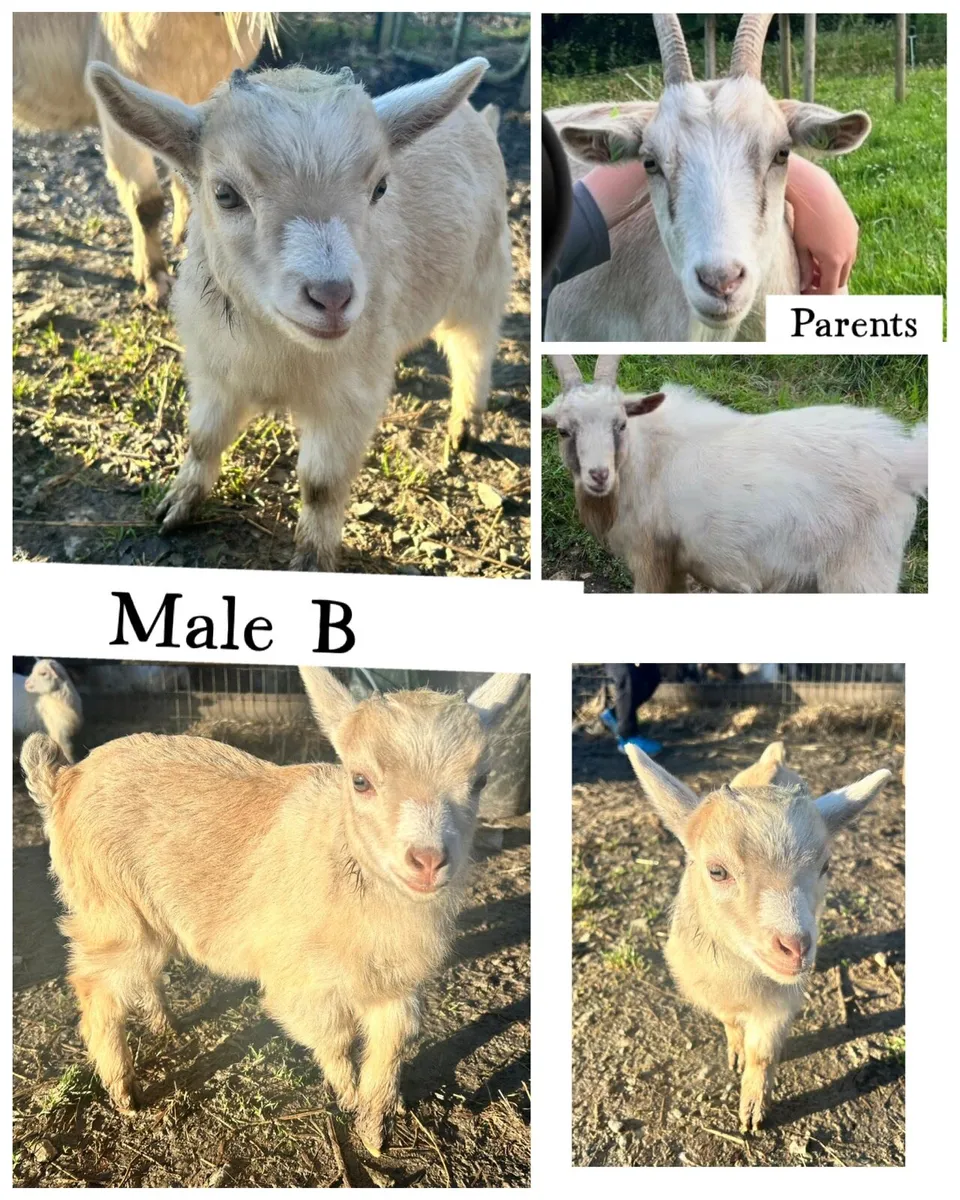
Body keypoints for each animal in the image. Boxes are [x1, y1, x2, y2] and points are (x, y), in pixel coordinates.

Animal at [20, 668, 524, 1155]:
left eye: (480, 781)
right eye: (360, 780)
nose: (428, 860)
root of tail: (65, 779)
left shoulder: (396, 983)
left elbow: (392, 1044)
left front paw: (377, 1127)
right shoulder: (300, 982)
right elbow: (336, 1038)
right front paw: (349, 1098)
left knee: (141, 972)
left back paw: (166, 1026)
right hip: (109, 907)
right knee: (96, 988)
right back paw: (125, 1093)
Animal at [84, 59, 512, 571]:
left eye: (380, 188)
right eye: (225, 194)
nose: (332, 296)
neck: (277, 349)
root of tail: (478, 118)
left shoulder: (347, 400)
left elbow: (321, 486)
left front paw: (312, 559)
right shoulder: (213, 371)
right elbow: (203, 438)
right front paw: (179, 503)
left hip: (482, 281)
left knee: (475, 349)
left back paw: (466, 423)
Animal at [543, 355, 927, 593]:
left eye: (620, 424)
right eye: (563, 431)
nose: (598, 475)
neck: (644, 459)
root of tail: (904, 458)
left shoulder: (650, 557)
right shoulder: (675, 564)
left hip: (861, 571)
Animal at [626, 740, 892, 1130]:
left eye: (825, 866)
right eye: (717, 871)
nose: (796, 947)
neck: (742, 973)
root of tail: (773, 757)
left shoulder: (779, 1001)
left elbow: (763, 1054)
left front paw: (753, 1108)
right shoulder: (711, 988)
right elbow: (729, 1021)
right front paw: (735, 1051)